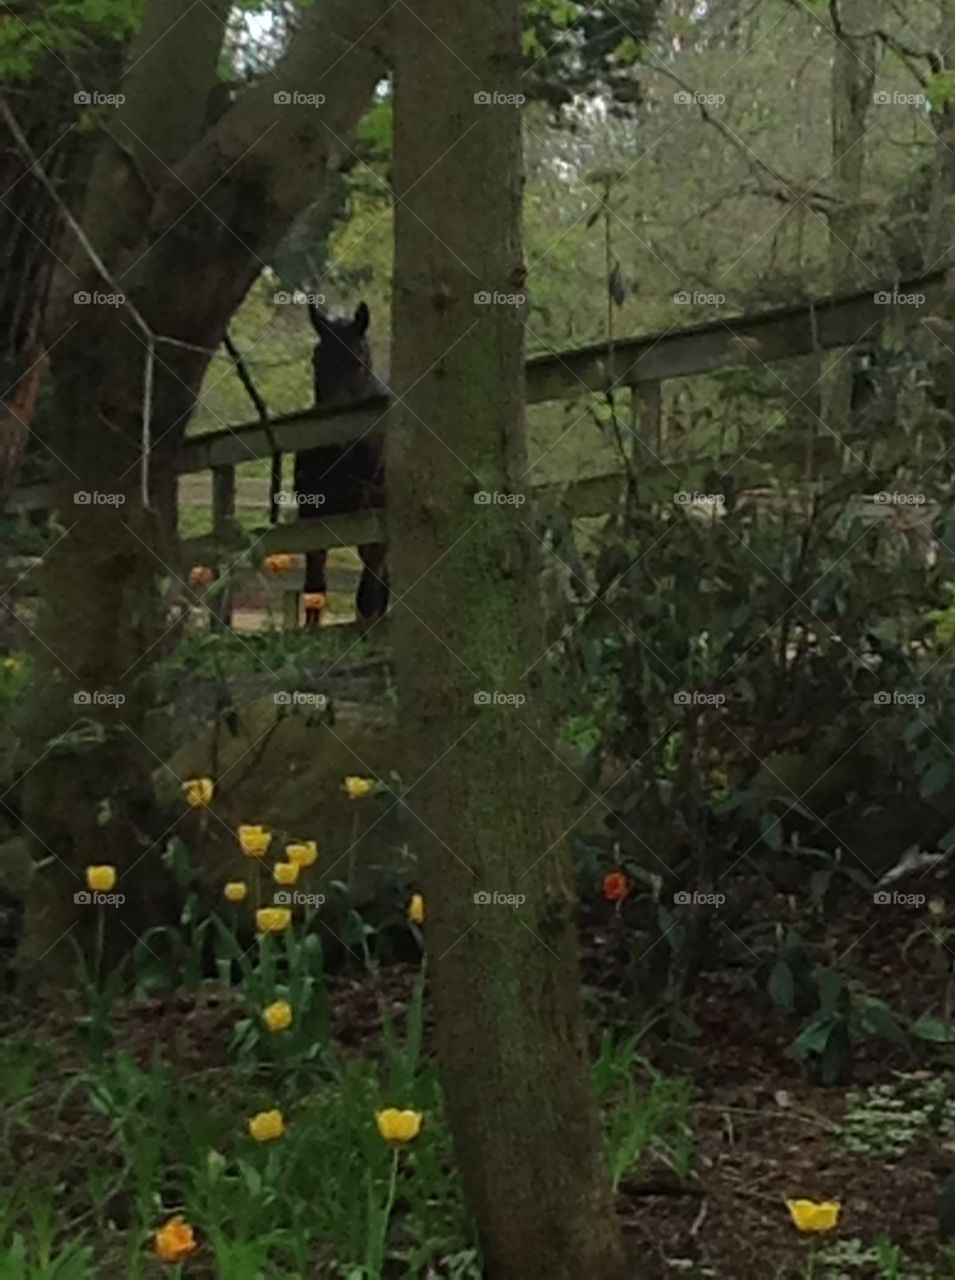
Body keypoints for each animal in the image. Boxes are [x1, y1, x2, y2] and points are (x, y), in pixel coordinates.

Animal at [295, 300, 389, 629]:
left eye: (360, 359)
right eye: (316, 360)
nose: (331, 438)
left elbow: (369, 588)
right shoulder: (311, 515)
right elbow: (314, 584)